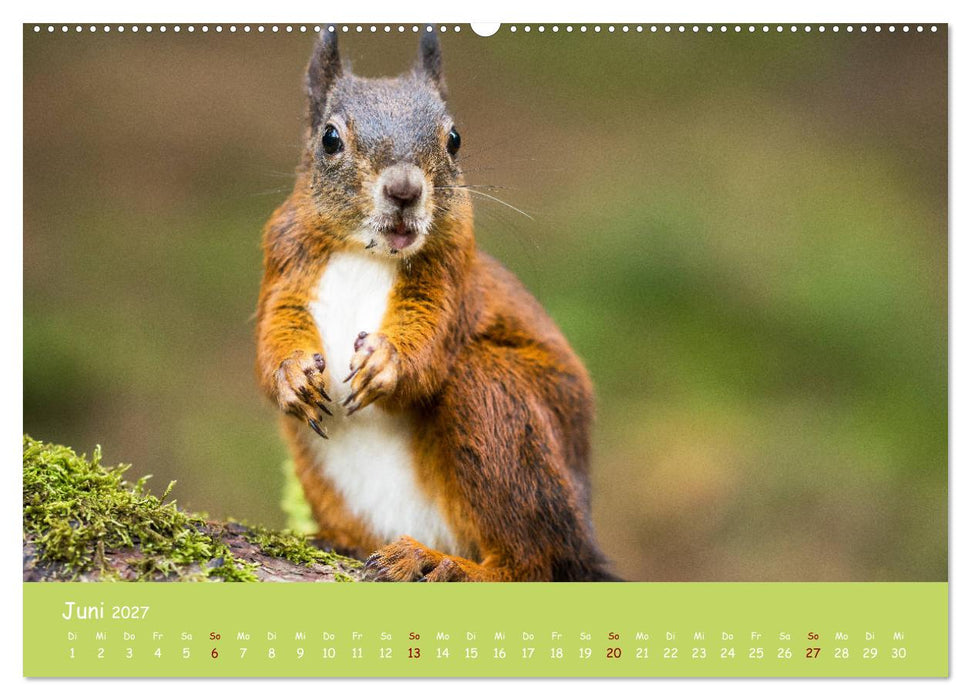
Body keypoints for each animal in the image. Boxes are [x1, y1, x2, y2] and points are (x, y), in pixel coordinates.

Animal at [255, 29, 615, 582]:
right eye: (330, 139)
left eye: (455, 139)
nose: (404, 190)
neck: (364, 253)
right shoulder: (284, 269)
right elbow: (275, 330)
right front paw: (291, 375)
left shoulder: (451, 281)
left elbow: (428, 343)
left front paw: (387, 362)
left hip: (497, 406)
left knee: (532, 563)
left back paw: (443, 563)